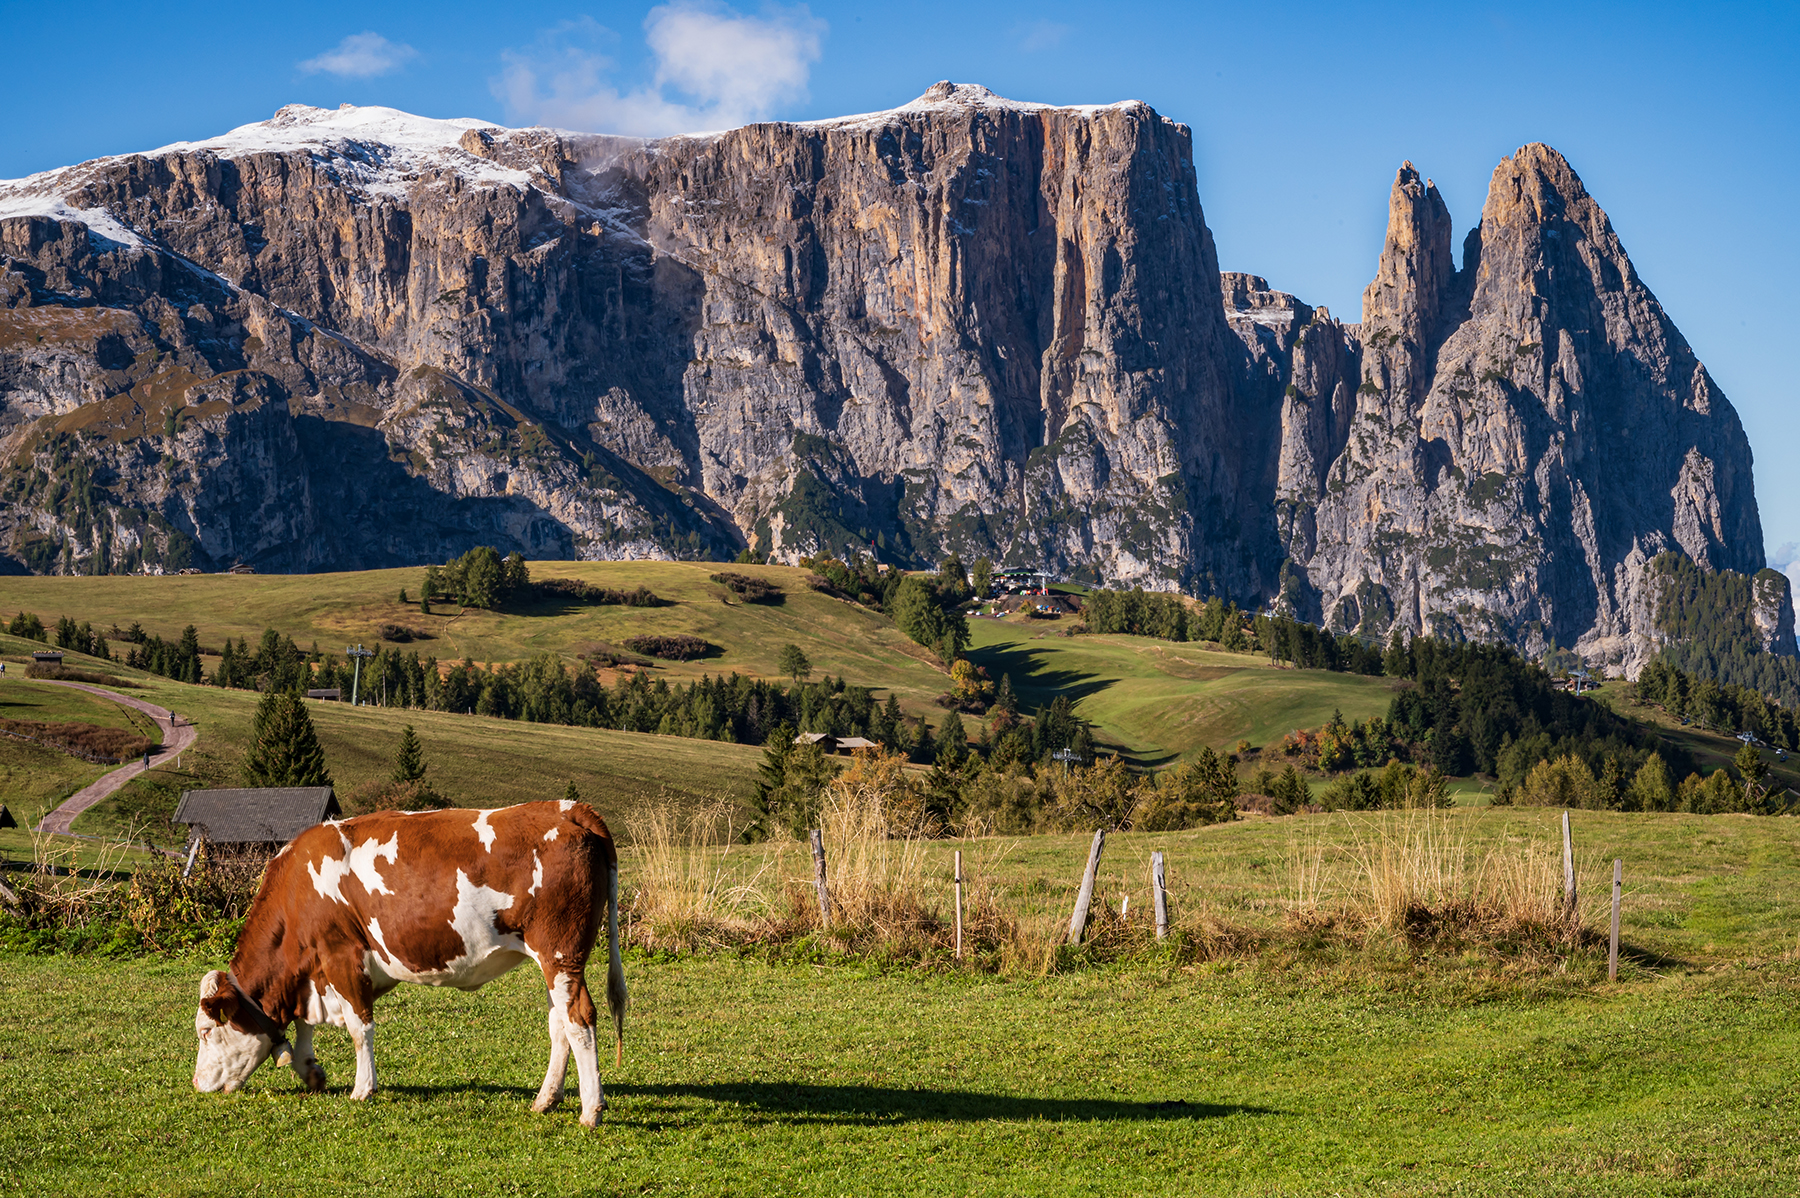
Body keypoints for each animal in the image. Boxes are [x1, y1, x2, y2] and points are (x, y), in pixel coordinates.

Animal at [192, 799, 628, 1127]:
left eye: (205, 1032)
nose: (197, 1083)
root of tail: (567, 808)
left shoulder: (341, 954)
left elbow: (359, 1028)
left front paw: (362, 1089)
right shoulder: (315, 974)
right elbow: (305, 1026)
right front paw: (310, 1069)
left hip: (560, 953)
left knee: (579, 1018)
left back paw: (591, 1111)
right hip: (552, 961)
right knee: (560, 1024)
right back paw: (546, 1099)